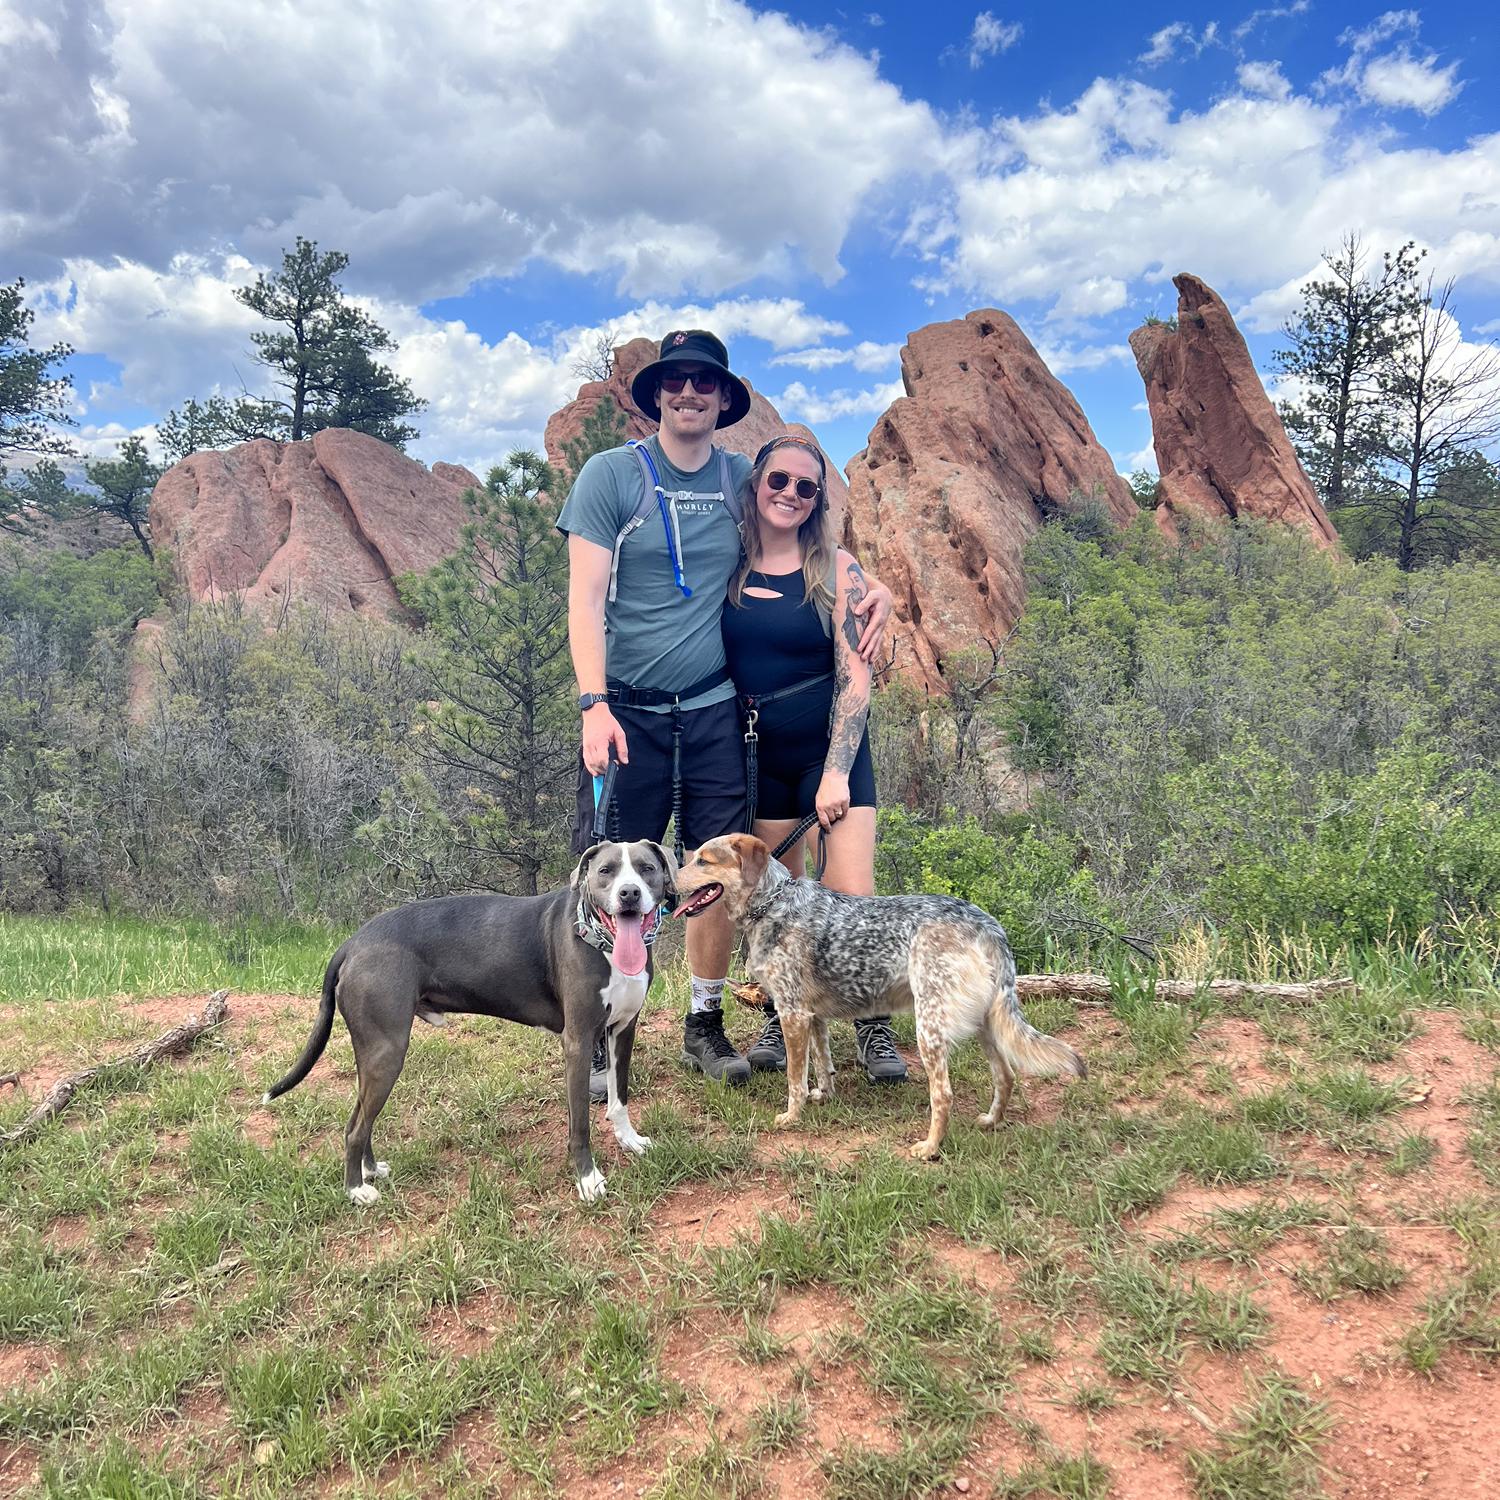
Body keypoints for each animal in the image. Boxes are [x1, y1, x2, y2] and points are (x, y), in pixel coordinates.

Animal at [264, 840, 675, 1200]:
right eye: (606, 871)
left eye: (646, 869)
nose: (629, 894)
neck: (600, 941)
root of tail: (352, 942)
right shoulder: (578, 1041)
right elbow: (580, 1125)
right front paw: (588, 1180)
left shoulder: (622, 1031)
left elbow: (619, 1099)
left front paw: (630, 1141)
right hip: (386, 1051)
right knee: (354, 1127)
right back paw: (356, 1190)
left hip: (373, 1054)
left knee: (361, 1116)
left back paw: (369, 1170)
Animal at [675, 834, 1086, 1158]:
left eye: (703, 860)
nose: (668, 877)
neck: (773, 904)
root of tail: (987, 924)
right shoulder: (813, 1017)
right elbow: (822, 1065)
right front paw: (823, 1096)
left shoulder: (792, 1014)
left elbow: (795, 1078)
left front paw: (792, 1116)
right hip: (984, 1023)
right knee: (1005, 1076)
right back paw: (991, 1121)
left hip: (930, 1028)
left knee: (944, 1094)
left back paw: (930, 1148)